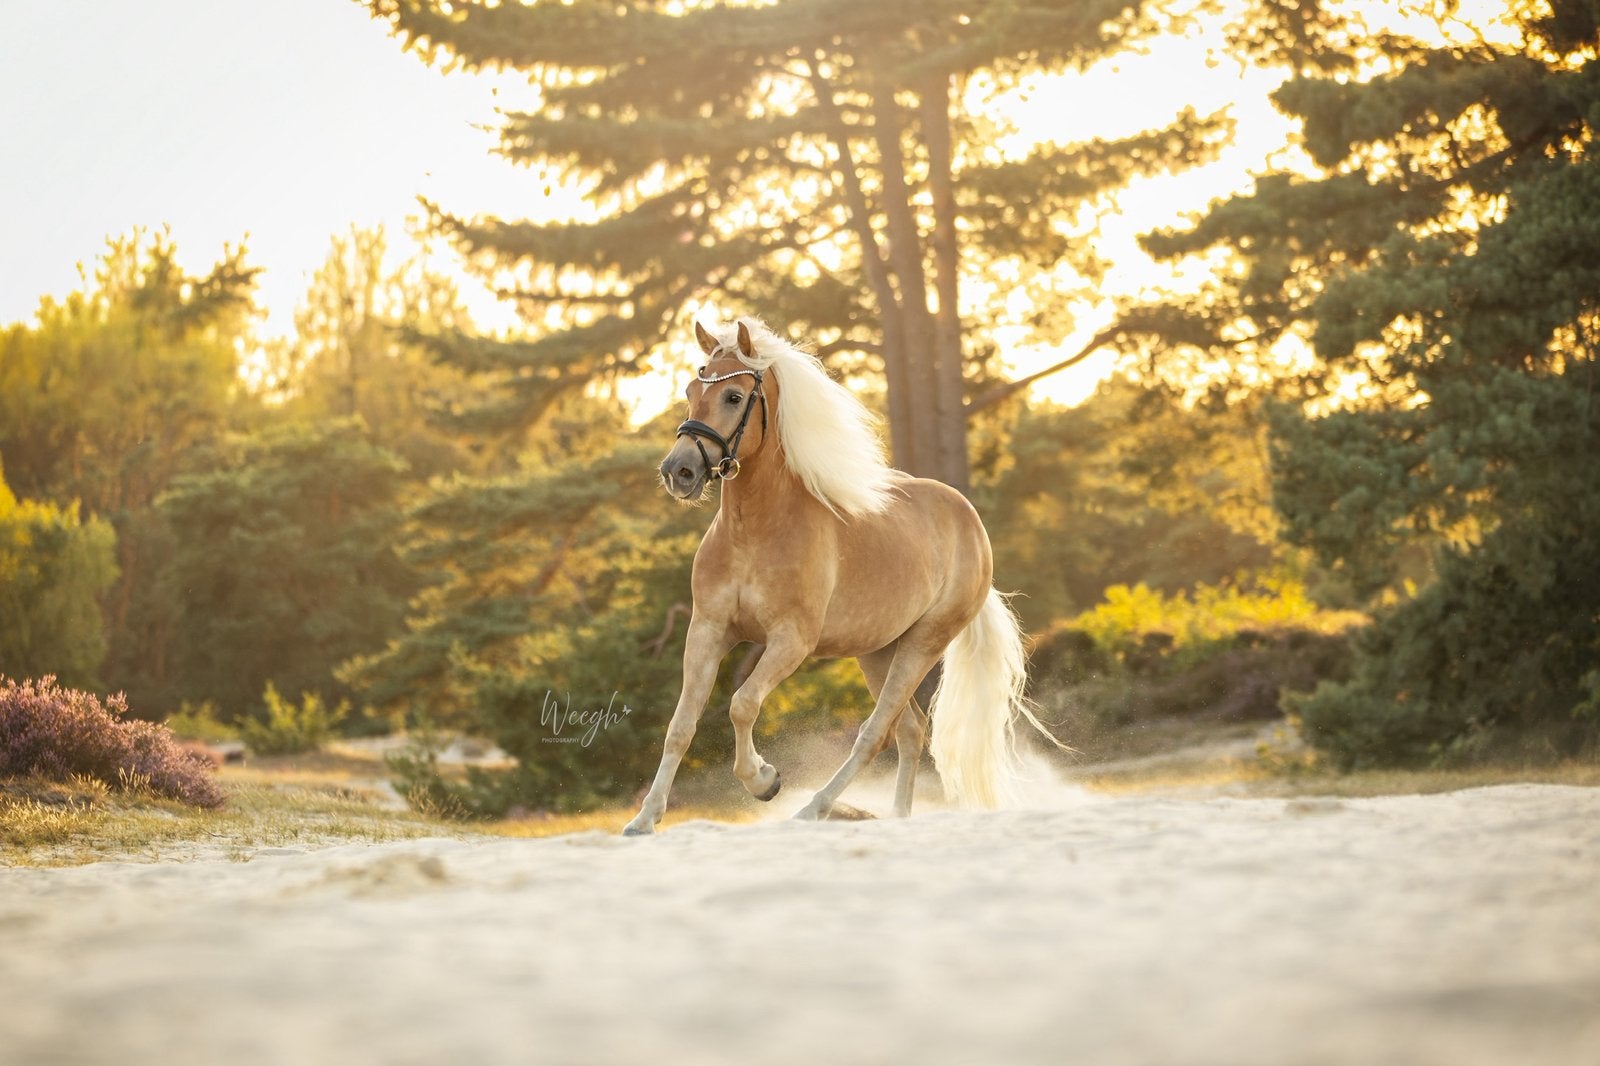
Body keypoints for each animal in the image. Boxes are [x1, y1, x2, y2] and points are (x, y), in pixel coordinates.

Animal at [621, 318, 1058, 835]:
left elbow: (742, 704)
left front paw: (764, 781)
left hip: (923, 644)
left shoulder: (791, 641)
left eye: (732, 396)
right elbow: (681, 724)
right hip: (877, 651)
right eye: (691, 390)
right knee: (909, 730)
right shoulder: (708, 630)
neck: (755, 533)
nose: (679, 472)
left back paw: (813, 808)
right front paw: (644, 820)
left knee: (876, 732)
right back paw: (895, 817)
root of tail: (970, 523)